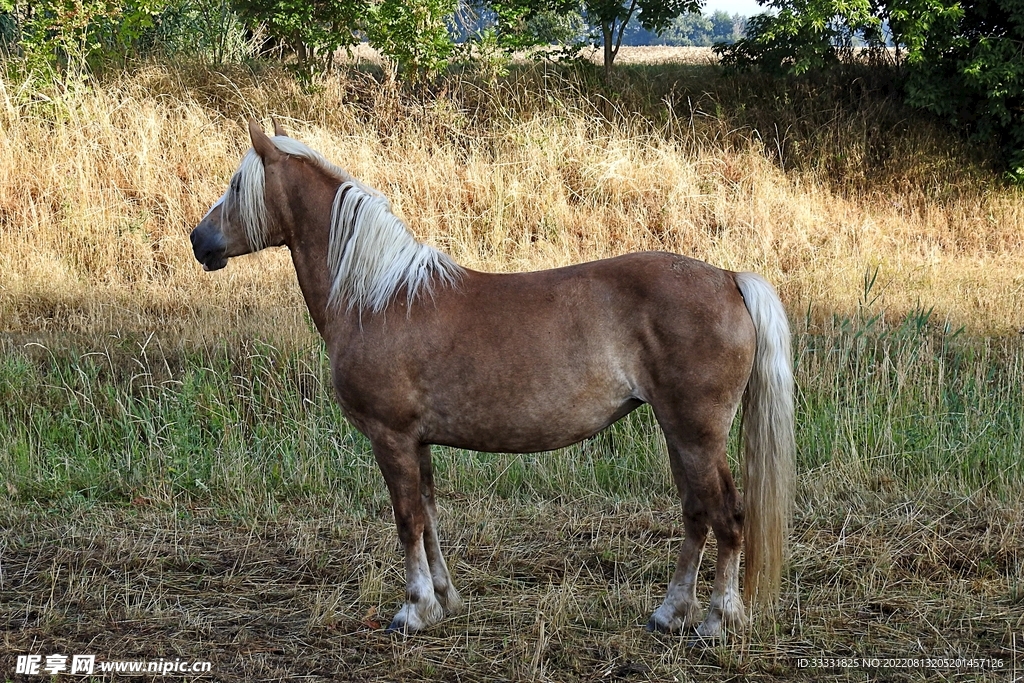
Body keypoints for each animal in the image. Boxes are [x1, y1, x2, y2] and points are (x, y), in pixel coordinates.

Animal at [190, 119, 795, 637]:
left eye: (237, 184)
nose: (199, 241)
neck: (377, 297)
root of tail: (728, 278)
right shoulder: (418, 442)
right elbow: (430, 517)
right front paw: (445, 600)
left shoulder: (391, 437)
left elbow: (407, 519)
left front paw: (412, 611)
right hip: (679, 434)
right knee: (697, 514)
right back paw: (669, 613)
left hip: (696, 434)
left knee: (727, 516)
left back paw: (716, 620)